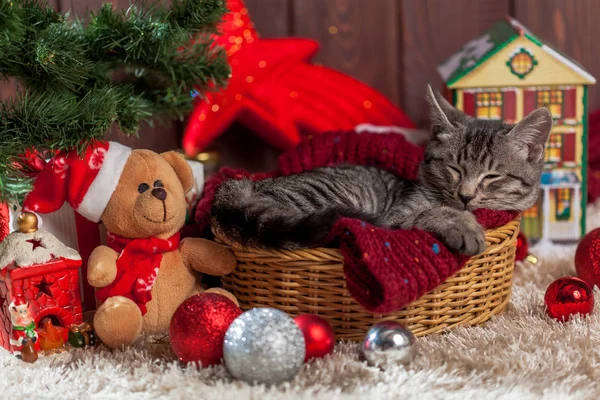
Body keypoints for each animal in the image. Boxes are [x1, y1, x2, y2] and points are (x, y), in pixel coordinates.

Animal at [212, 87, 552, 256]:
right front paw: (463, 225)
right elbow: (432, 213)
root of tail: (245, 186)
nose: (466, 197)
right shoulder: (394, 220)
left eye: (492, 176)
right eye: (454, 168)